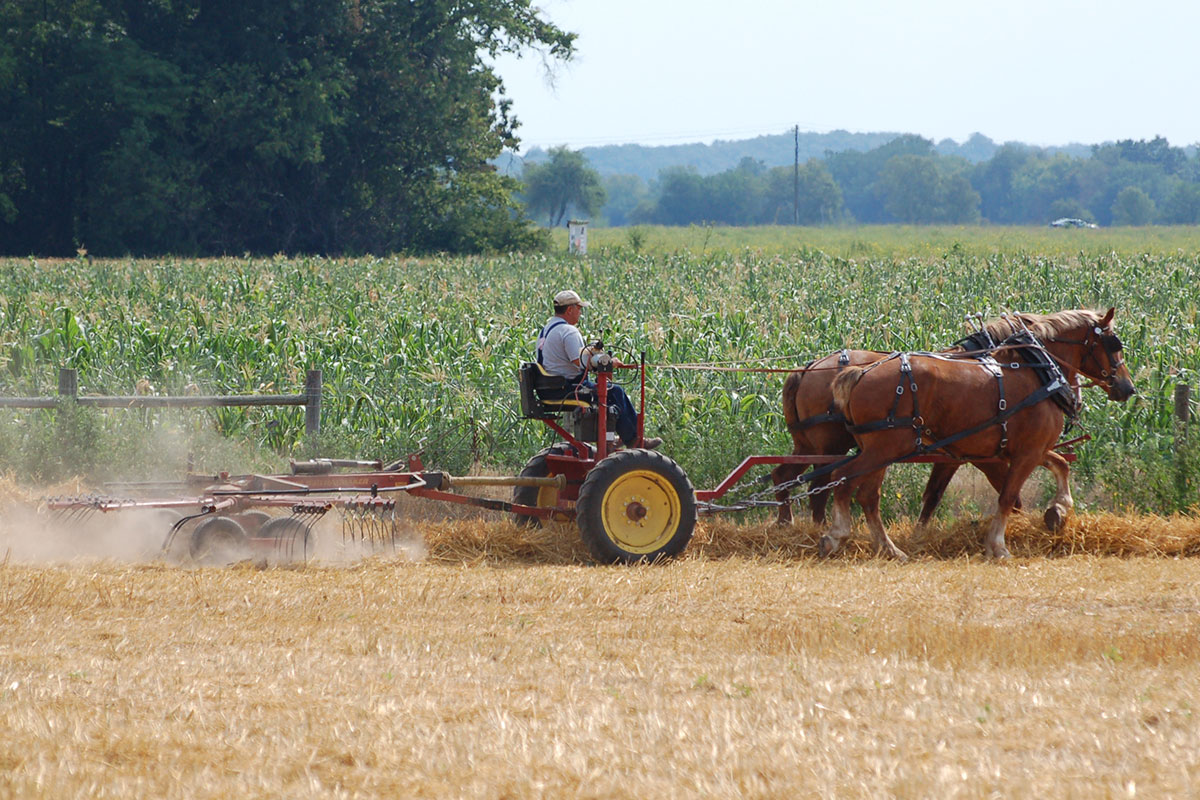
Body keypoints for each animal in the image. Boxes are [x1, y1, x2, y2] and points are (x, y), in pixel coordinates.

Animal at [772, 347, 1075, 527]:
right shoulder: (984, 455)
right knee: (819, 487)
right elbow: (1008, 493)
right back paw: (817, 528)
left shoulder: (960, 455)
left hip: (808, 444)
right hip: (831, 447)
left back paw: (789, 523)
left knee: (783, 476)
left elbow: (933, 495)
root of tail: (808, 368)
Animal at [820, 309, 1128, 561]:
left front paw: (1058, 512)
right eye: (1114, 344)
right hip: (886, 448)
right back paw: (837, 535)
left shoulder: (1023, 449)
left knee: (867, 495)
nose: (1128, 387)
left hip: (881, 449)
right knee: (843, 480)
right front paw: (998, 546)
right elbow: (1007, 497)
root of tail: (860, 372)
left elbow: (1060, 465)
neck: (1038, 370)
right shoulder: (1025, 452)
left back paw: (890, 549)